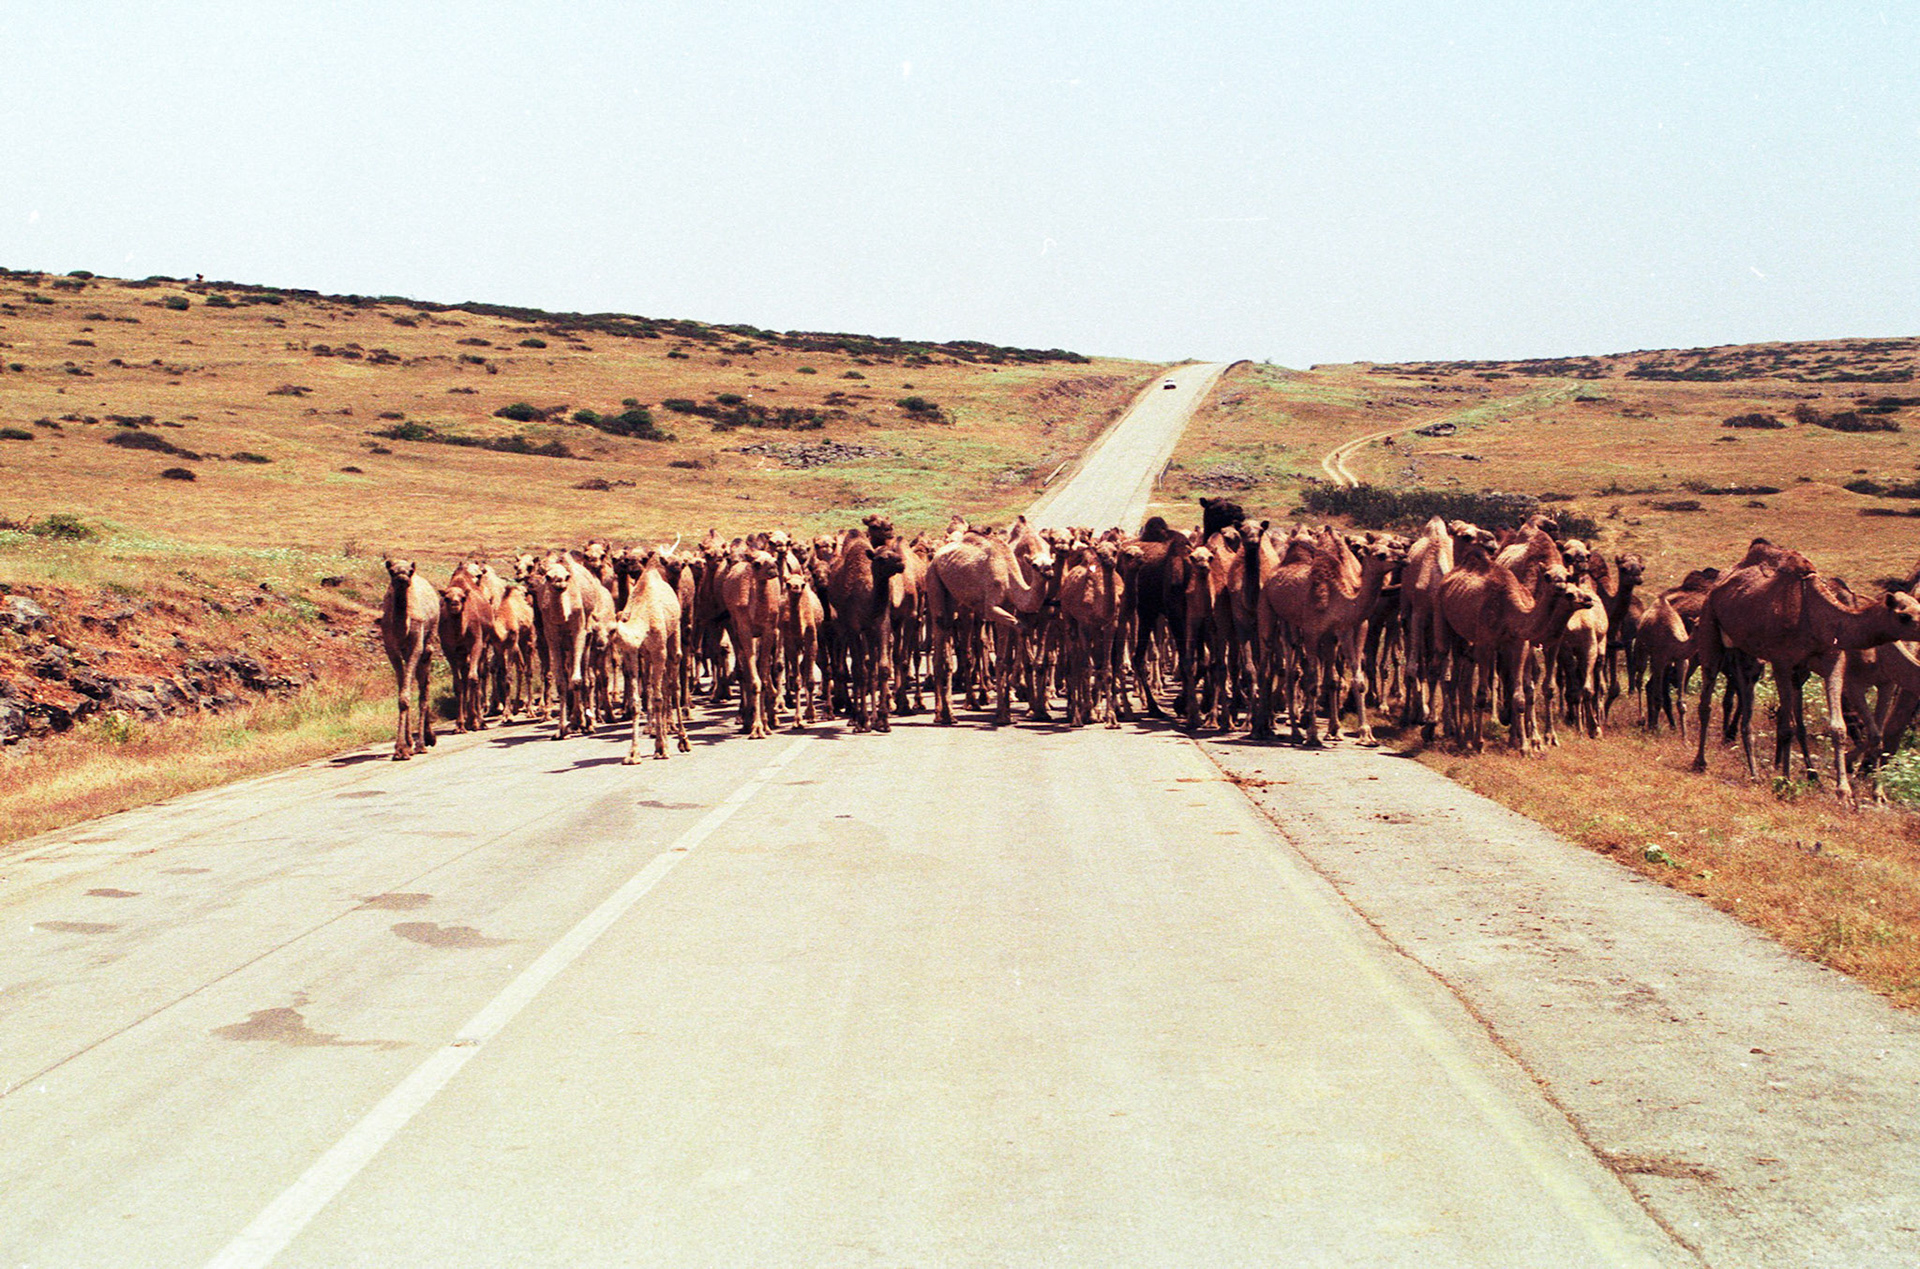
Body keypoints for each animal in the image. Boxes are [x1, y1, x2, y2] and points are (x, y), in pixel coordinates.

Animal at [377, 557, 439, 760]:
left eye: (410, 571)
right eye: (391, 571)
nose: (402, 577)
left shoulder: (416, 645)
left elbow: (409, 694)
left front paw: (407, 747)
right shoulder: (391, 648)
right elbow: (402, 696)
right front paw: (402, 747)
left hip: (428, 644)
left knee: (424, 687)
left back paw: (424, 741)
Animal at [1690, 542, 1920, 801]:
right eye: (1904, 616)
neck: (1816, 613)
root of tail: (1720, 581)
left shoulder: (1832, 659)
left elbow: (1837, 727)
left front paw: (1843, 791)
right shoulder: (1782, 661)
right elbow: (1786, 726)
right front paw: (1784, 782)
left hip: (1746, 652)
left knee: (1746, 701)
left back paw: (1756, 774)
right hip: (1710, 624)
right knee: (1707, 697)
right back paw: (1700, 762)